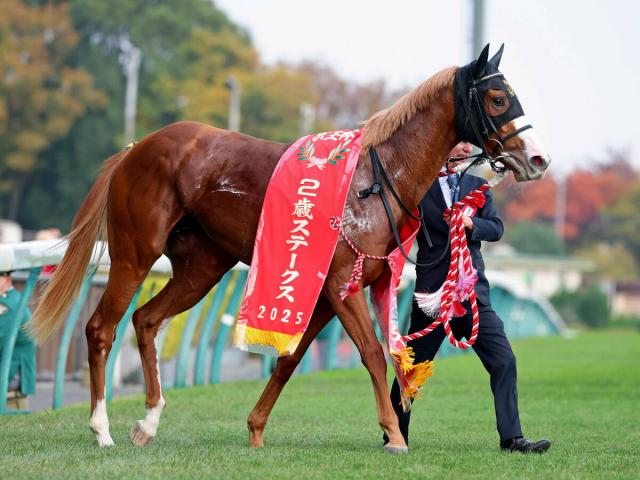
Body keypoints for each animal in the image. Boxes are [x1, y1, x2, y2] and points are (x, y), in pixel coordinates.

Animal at [30, 44, 549, 453]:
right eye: (498, 98)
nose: (538, 159)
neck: (372, 180)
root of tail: (136, 148)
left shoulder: (325, 292)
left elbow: (290, 359)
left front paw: (256, 429)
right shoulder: (342, 284)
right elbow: (373, 354)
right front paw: (393, 435)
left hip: (202, 266)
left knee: (146, 320)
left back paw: (149, 421)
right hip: (135, 252)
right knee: (101, 328)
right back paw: (102, 429)